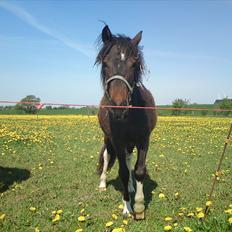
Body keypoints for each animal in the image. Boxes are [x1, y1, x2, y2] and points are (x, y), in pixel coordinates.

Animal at [95, 25, 157, 219]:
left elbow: (139, 170)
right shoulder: (118, 141)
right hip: (108, 139)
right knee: (107, 157)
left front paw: (139, 205)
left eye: (134, 64)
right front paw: (127, 208)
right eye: (105, 63)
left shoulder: (144, 140)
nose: (118, 108)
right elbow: (122, 171)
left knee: (130, 161)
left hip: (130, 143)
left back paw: (130, 186)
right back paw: (103, 183)